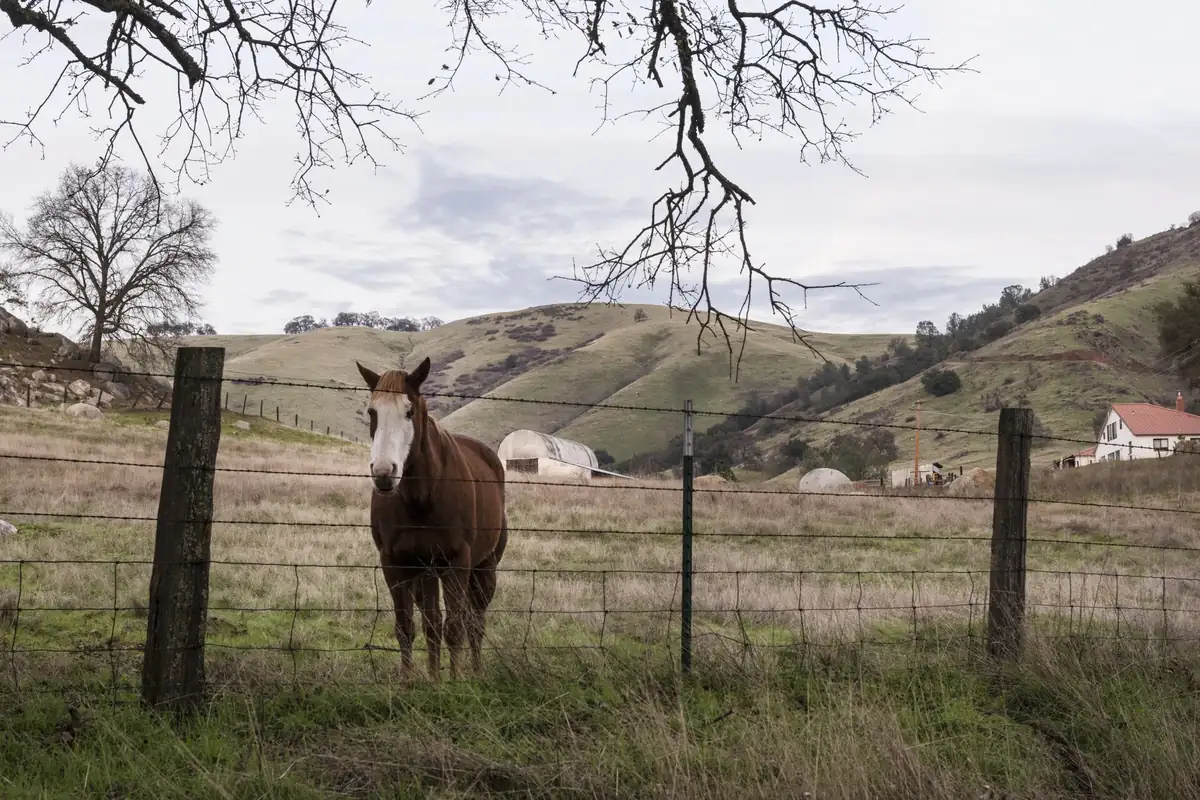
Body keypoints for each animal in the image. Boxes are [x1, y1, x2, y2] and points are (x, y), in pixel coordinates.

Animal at [356, 356, 509, 680]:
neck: (421, 498)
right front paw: (411, 681)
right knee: (432, 623)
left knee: (475, 622)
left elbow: (454, 628)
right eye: (372, 412)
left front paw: (455, 680)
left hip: (484, 568)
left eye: (409, 411)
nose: (384, 473)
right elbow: (407, 627)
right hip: (425, 573)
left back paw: (476, 672)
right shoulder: (395, 564)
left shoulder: (456, 562)